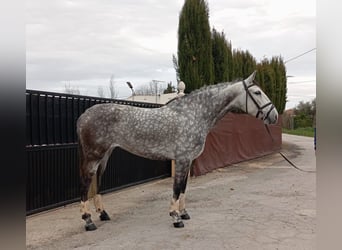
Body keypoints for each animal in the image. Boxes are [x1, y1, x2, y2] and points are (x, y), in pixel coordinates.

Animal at [76, 71, 276, 230]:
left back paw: (103, 214)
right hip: (94, 156)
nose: (274, 115)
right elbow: (177, 187)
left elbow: (184, 188)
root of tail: (84, 116)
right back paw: (88, 221)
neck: (194, 115)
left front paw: (184, 213)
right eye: (257, 92)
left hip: (105, 155)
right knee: (85, 182)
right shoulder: (182, 159)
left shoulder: (188, 161)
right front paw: (176, 217)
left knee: (97, 181)